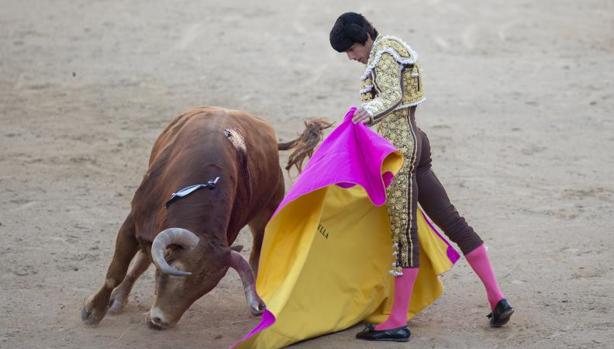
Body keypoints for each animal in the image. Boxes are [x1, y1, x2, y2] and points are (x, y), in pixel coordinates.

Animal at [83, 106, 332, 328]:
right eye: (176, 271)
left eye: (206, 288)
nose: (160, 321)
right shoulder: (132, 224)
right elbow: (115, 273)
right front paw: (93, 311)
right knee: (143, 259)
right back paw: (118, 299)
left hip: (265, 214)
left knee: (256, 252)